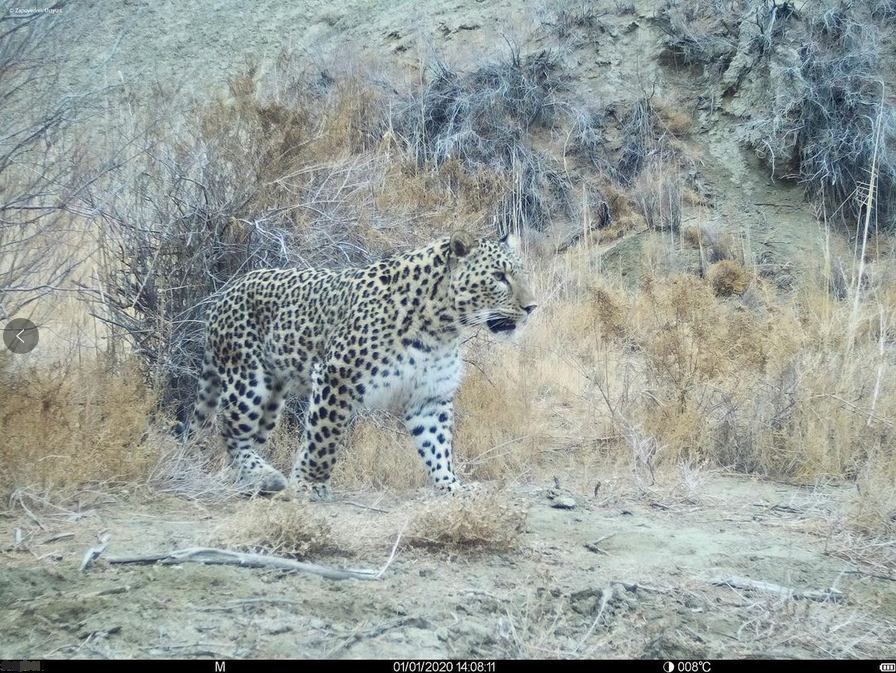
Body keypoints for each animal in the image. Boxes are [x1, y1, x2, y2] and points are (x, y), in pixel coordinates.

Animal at [176, 230, 537, 500]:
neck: (442, 328)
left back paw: (255, 480)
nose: (532, 307)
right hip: (248, 382)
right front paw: (309, 484)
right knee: (230, 432)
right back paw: (266, 477)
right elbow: (324, 436)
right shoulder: (336, 376)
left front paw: (452, 486)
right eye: (499, 277)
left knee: (246, 439)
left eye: (521, 274)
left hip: (272, 398)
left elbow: (437, 445)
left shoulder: (429, 395)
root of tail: (225, 293)